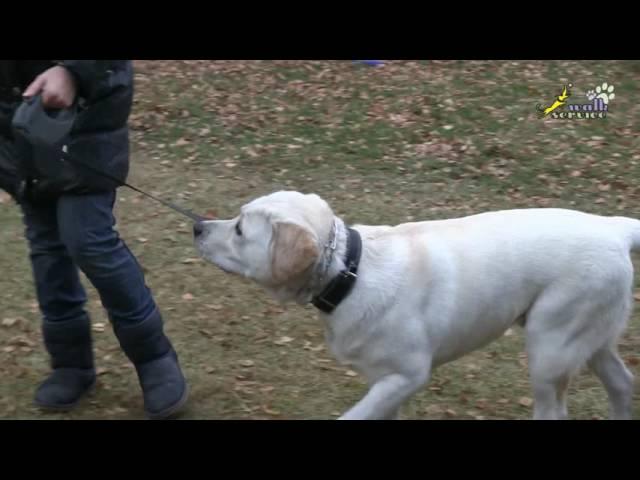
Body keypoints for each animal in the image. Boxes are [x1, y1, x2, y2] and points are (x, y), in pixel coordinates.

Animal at [194, 191, 636, 420]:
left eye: (239, 229)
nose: (197, 225)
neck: (350, 272)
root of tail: (612, 227)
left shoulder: (407, 376)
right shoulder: (386, 384)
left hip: (549, 349)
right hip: (588, 340)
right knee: (622, 381)